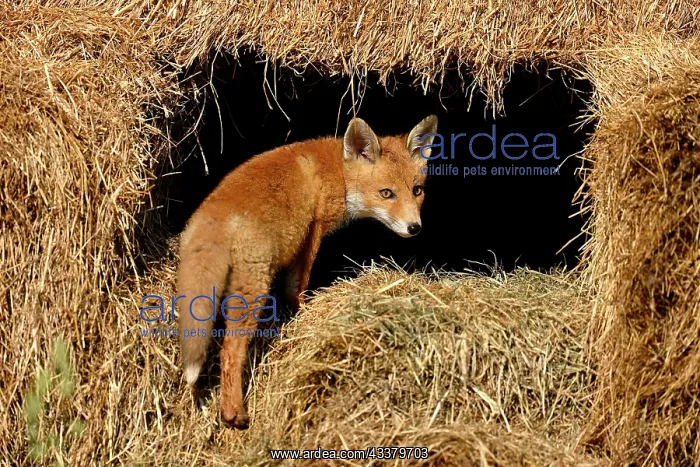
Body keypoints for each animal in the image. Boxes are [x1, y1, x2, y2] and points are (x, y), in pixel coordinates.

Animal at [177, 114, 438, 428]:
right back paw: (233, 412)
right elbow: (296, 285)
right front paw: (303, 312)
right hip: (253, 290)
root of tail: (213, 214)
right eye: (386, 193)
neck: (339, 171)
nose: (415, 228)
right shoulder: (313, 231)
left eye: (417, 190)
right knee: (230, 352)